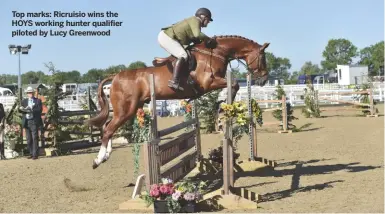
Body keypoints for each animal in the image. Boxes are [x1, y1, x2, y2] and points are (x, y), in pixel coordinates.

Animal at [86, 35, 268, 169]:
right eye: (263, 58)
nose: (264, 80)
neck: (216, 52)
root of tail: (115, 76)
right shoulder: (209, 82)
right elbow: (235, 84)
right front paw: (224, 105)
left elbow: (232, 86)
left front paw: (222, 105)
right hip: (126, 110)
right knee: (108, 129)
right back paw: (98, 160)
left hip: (128, 110)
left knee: (107, 126)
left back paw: (106, 156)